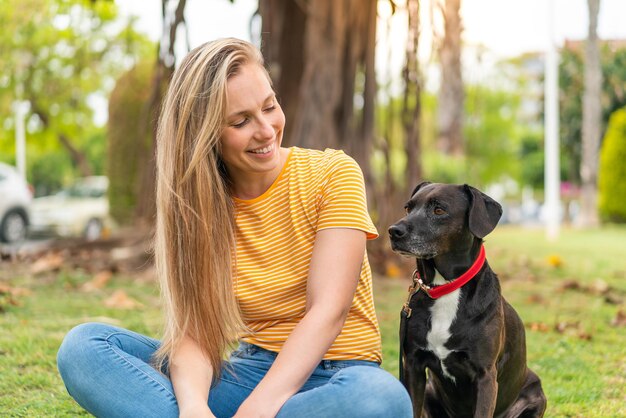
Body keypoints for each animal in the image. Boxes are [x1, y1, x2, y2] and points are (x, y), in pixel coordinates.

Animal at [388, 183, 544, 418]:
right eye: (408, 207)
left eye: (439, 210)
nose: (393, 231)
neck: (444, 288)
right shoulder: (413, 366)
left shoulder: (485, 375)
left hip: (536, 392)